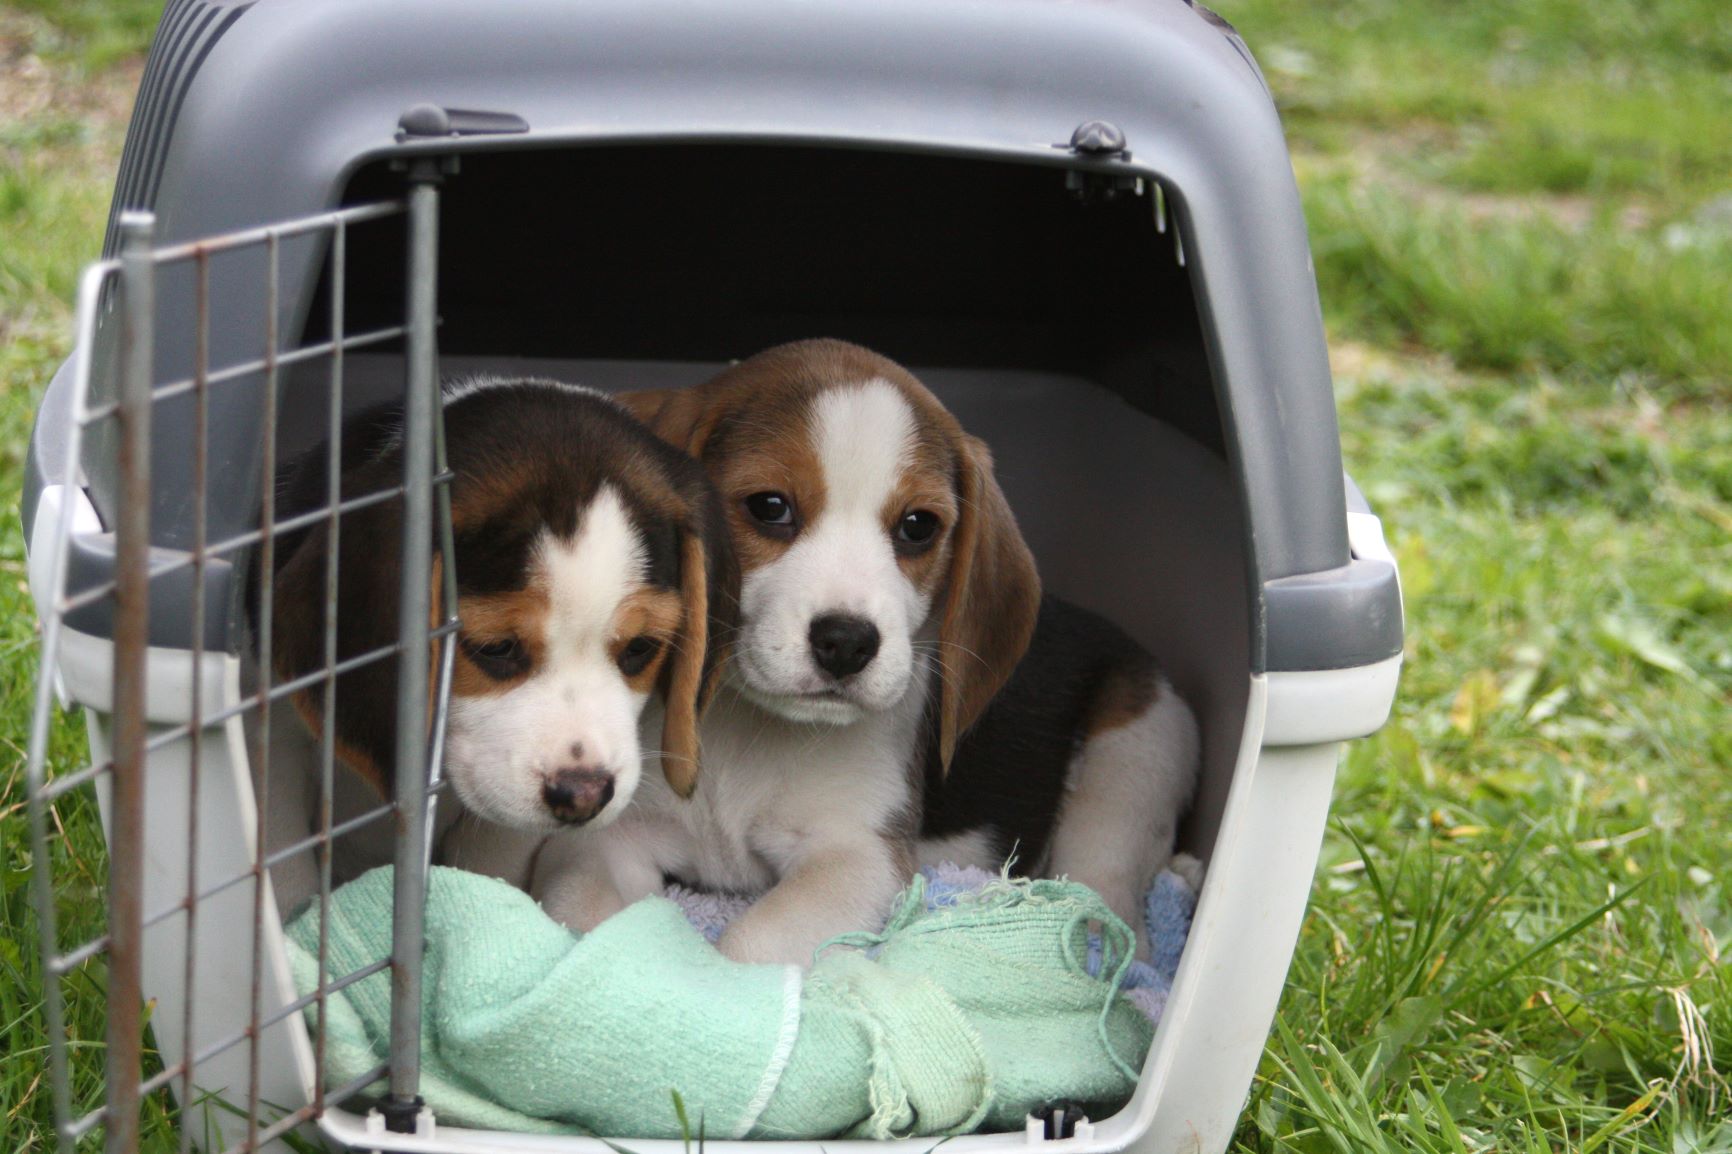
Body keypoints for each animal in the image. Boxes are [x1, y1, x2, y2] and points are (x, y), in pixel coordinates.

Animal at [540, 337, 1205, 956]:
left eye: (918, 526)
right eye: (769, 507)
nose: (847, 642)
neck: (746, 730)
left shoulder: (859, 856)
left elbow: (753, 943)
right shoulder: (609, 834)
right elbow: (583, 913)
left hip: (1132, 768)